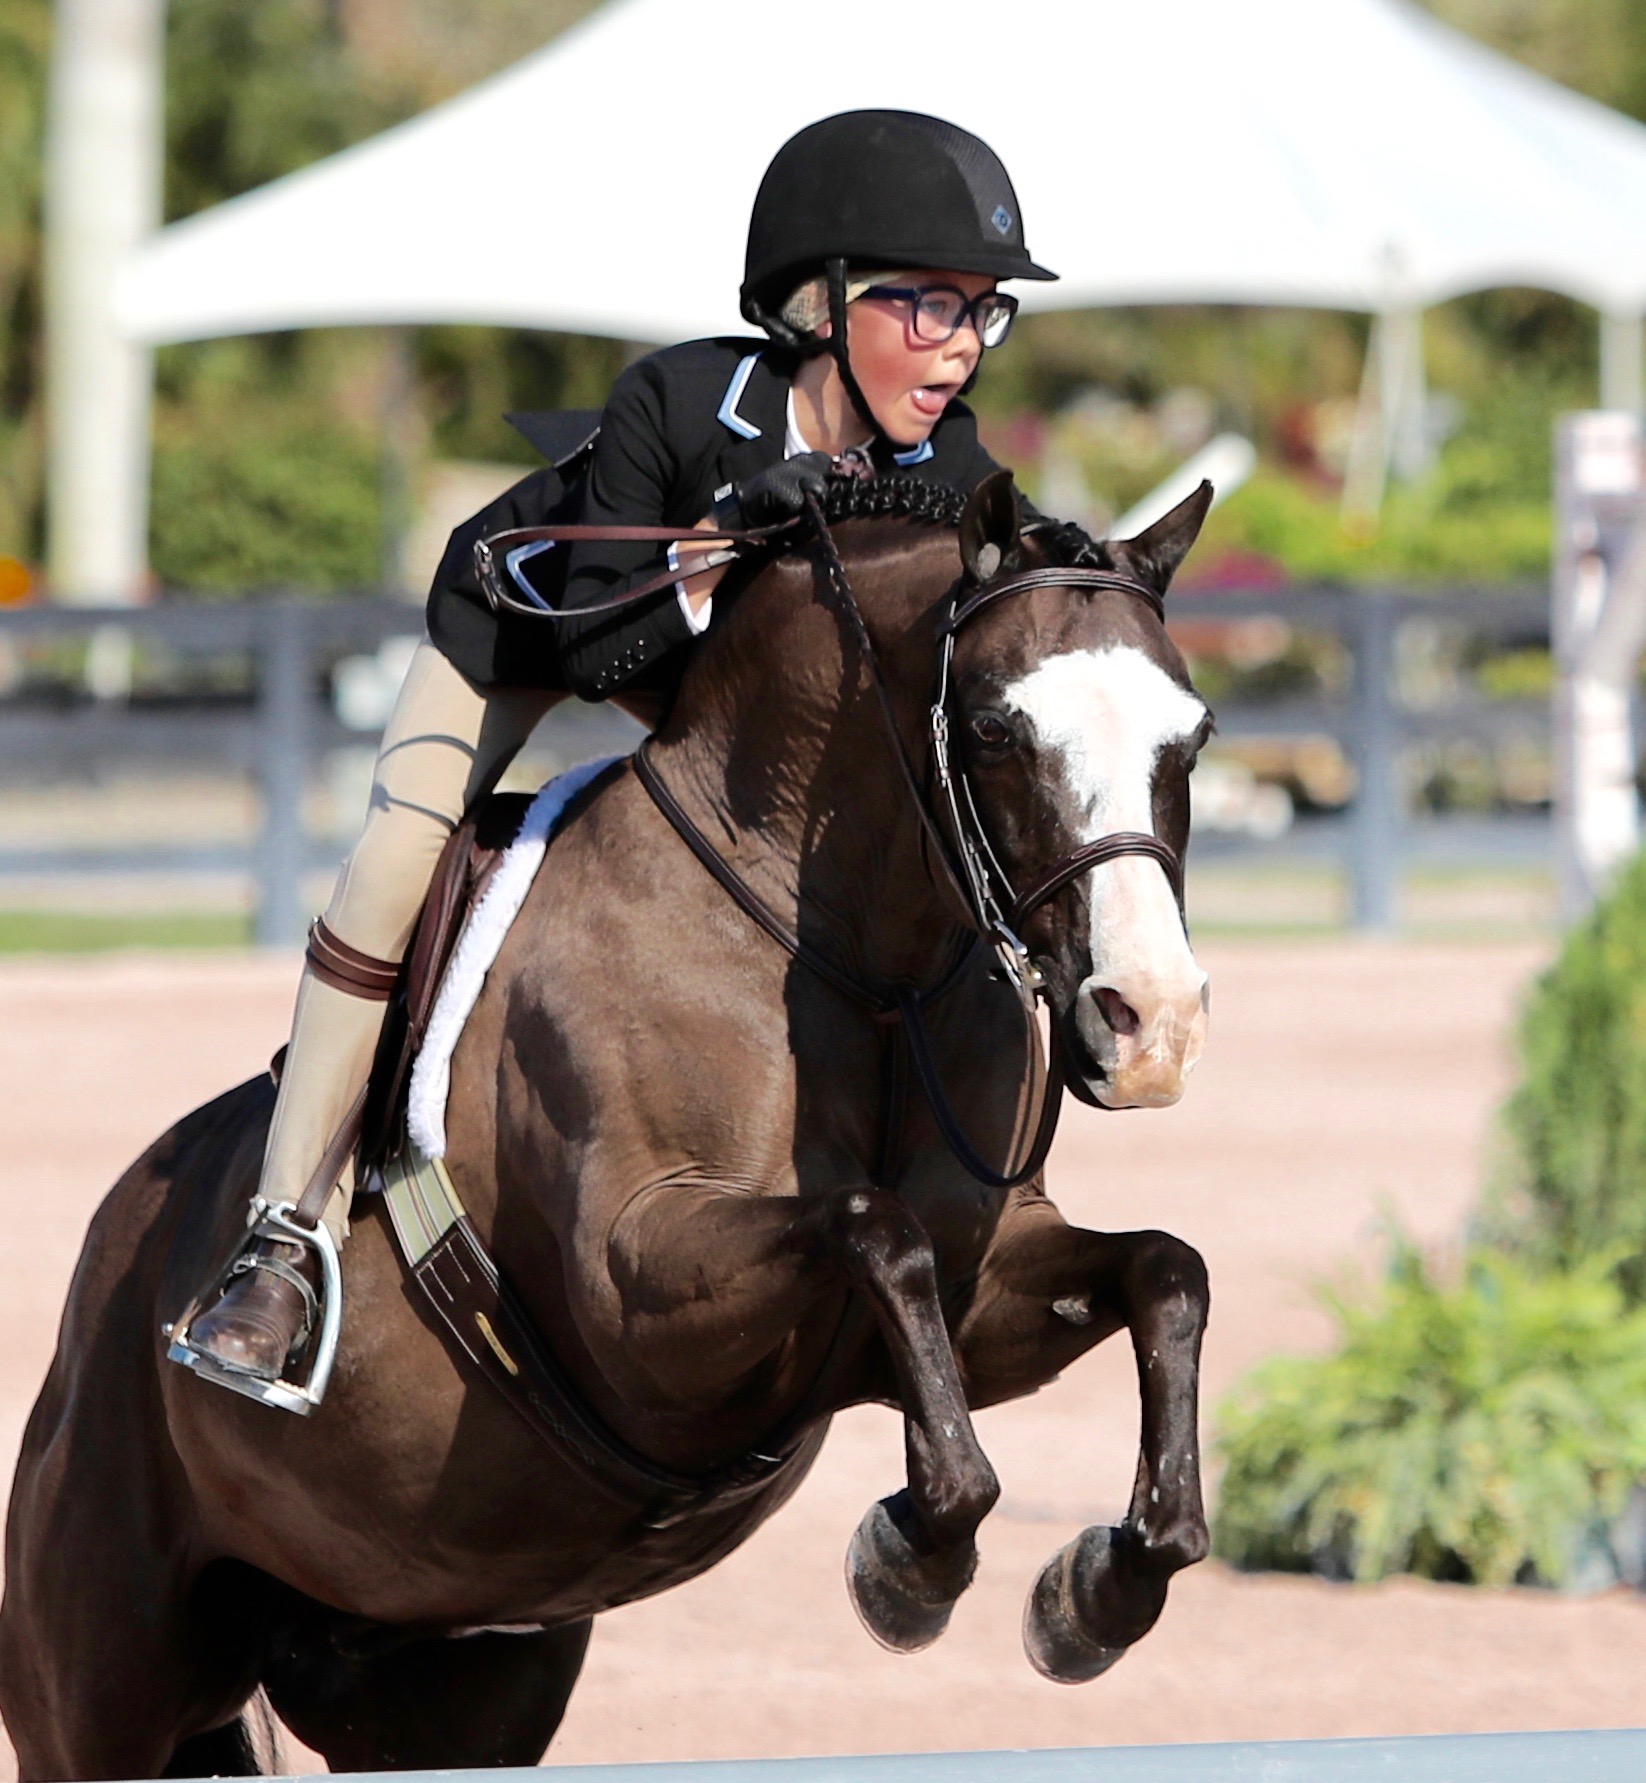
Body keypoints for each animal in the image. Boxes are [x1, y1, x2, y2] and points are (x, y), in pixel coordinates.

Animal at [0, 467, 1212, 1775]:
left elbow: (1161, 1271)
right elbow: (871, 1228)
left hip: (437, 1680)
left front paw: (1100, 1587)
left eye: (1191, 736)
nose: (1151, 1024)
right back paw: (254, 1307)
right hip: (102, 1677)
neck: (859, 963)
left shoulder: (981, 1287)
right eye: (992, 729)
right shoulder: (636, 1298)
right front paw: (911, 1559)